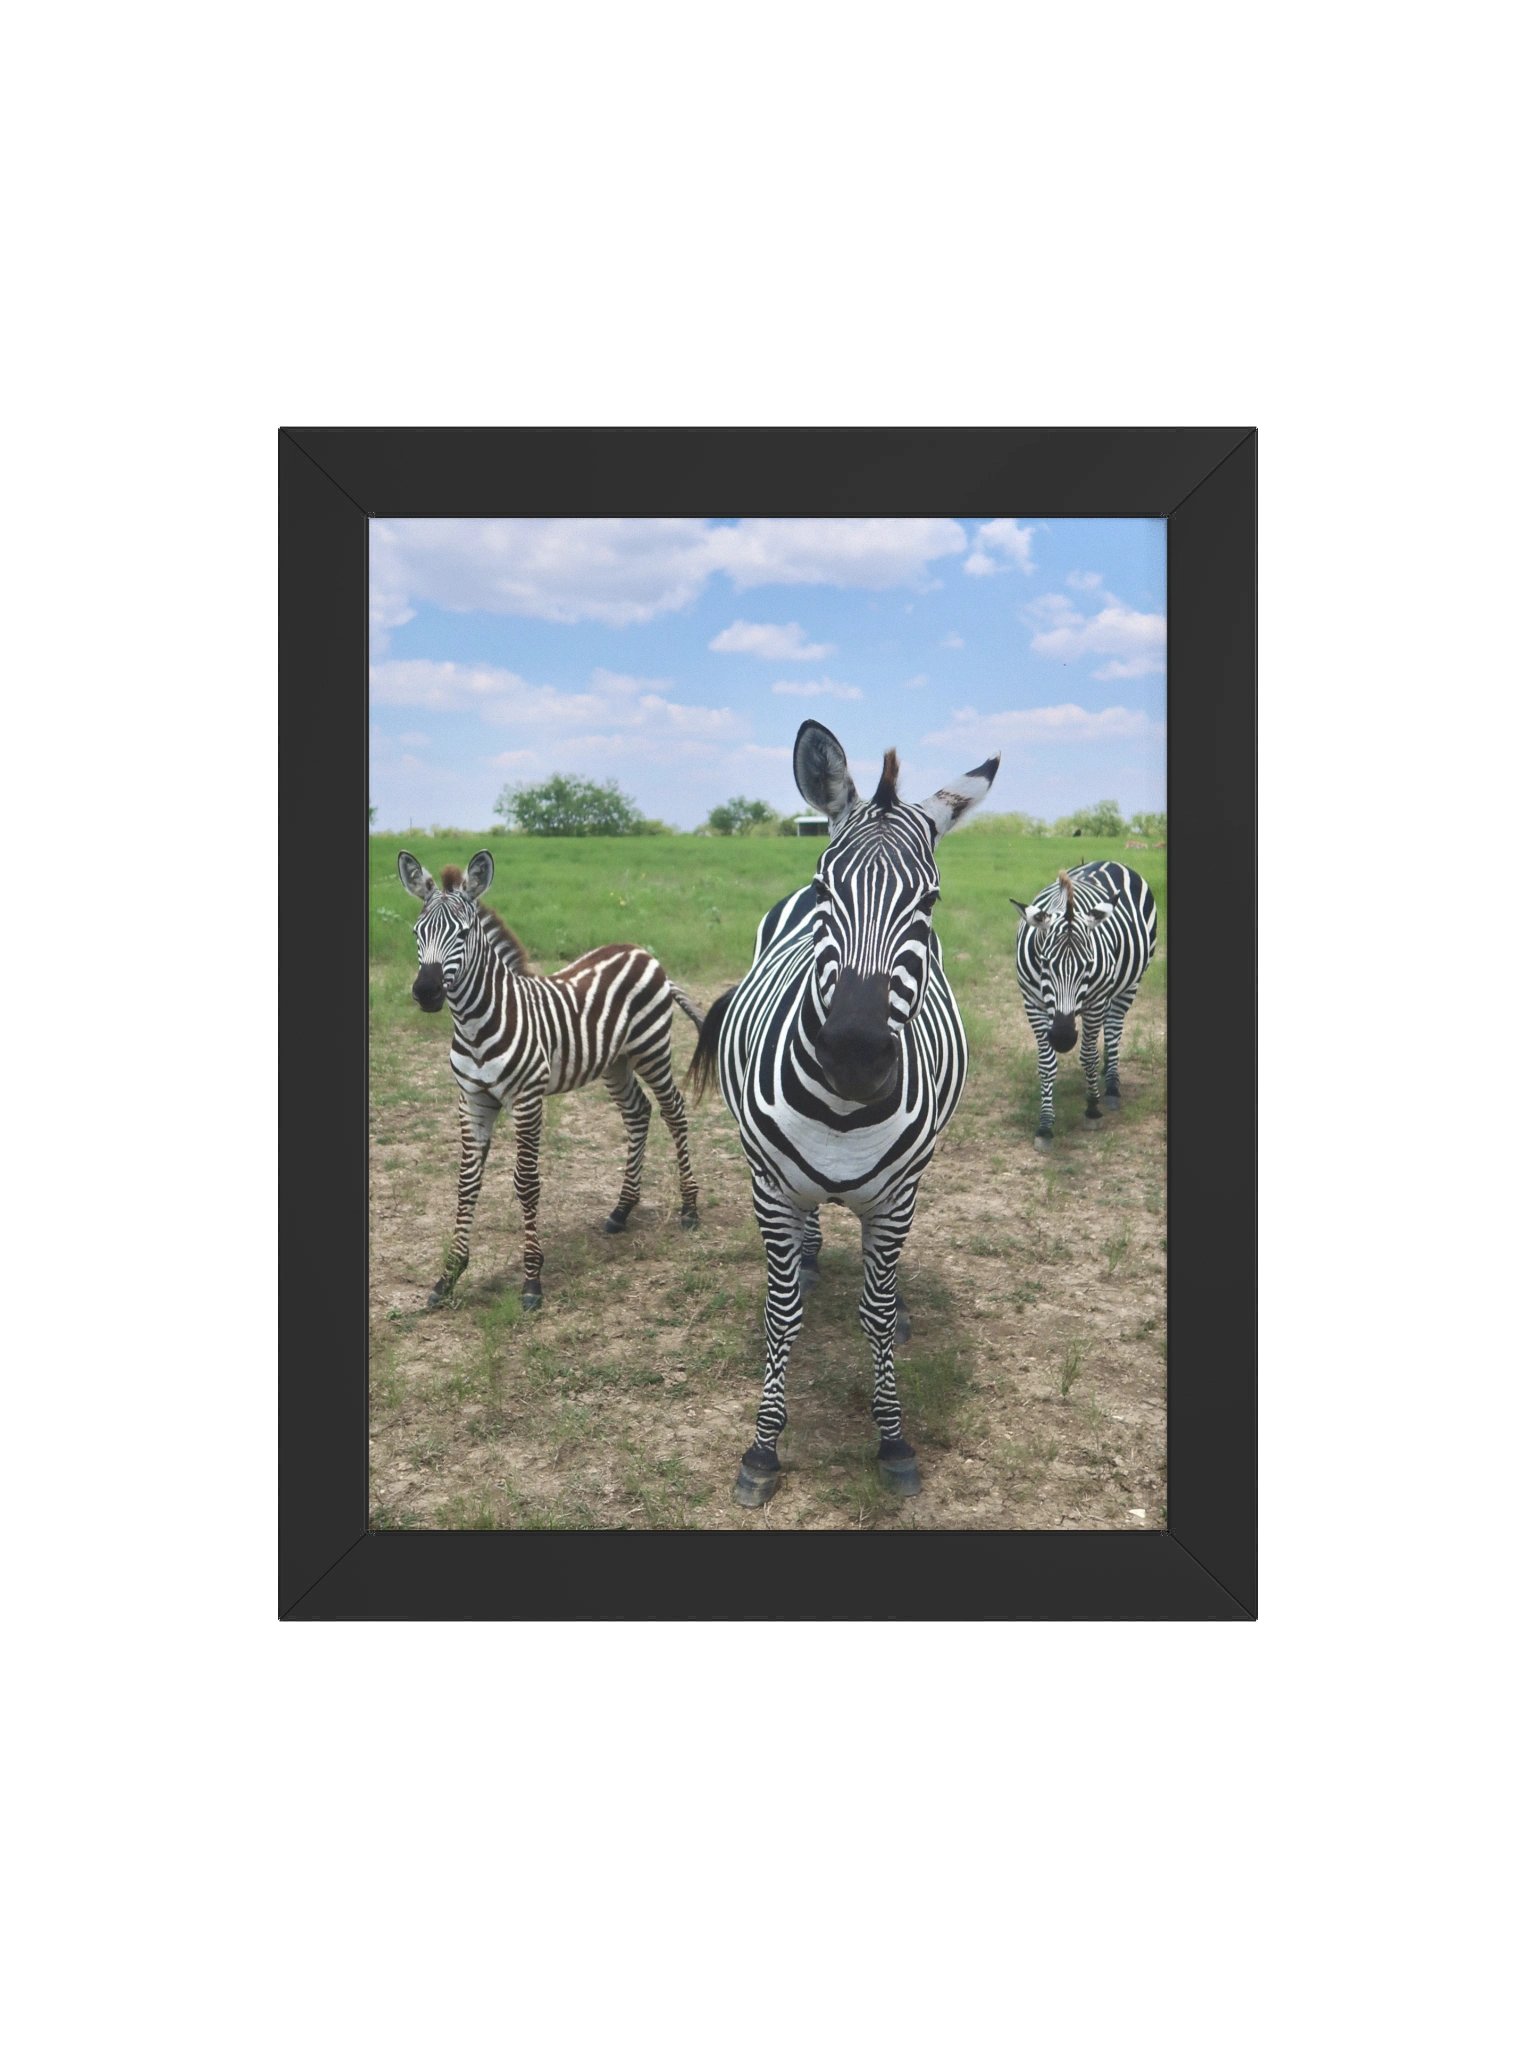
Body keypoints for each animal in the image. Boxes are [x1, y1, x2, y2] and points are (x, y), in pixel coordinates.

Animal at [397, 848, 702, 1311]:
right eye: (417, 931)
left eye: (464, 933)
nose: (426, 993)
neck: (475, 1023)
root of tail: (640, 952)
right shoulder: (472, 1099)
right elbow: (466, 1183)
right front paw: (447, 1278)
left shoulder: (526, 1099)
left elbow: (526, 1184)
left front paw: (531, 1281)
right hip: (616, 1062)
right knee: (638, 1114)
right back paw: (621, 1210)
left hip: (651, 1049)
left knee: (674, 1111)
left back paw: (689, 1209)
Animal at [690, 720, 999, 1506]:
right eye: (827, 889)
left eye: (930, 902)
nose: (855, 1055)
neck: (842, 1113)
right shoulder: (769, 1189)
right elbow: (783, 1315)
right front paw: (763, 1449)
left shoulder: (896, 1200)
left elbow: (877, 1315)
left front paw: (892, 1438)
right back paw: (805, 1258)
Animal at [1010, 860, 1158, 1147]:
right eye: (1045, 963)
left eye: (1088, 964)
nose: (1063, 1038)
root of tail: (1109, 861)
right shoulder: (1032, 1002)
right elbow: (1046, 1063)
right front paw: (1045, 1125)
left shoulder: (1095, 1000)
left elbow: (1088, 1054)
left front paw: (1092, 1108)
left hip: (1129, 985)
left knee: (1113, 1029)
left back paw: (1111, 1085)